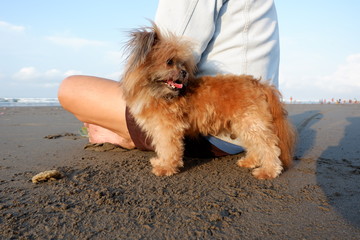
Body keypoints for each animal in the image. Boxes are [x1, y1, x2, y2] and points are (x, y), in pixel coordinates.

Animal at [121, 24, 296, 180]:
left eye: (182, 64)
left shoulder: (167, 129)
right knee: (255, 145)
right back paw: (250, 161)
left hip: (250, 122)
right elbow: (162, 148)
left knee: (268, 147)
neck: (156, 92)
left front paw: (166, 168)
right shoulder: (158, 128)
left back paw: (268, 171)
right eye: (170, 61)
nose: (184, 72)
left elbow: (168, 149)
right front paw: (161, 162)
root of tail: (259, 84)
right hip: (243, 125)